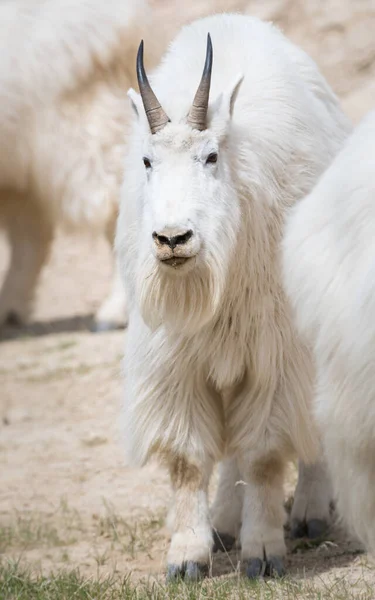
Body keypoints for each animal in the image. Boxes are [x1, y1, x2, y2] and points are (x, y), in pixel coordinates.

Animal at [117, 12, 352, 576]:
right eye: (147, 162)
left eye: (211, 156)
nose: (173, 239)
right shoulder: (178, 358)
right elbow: (188, 461)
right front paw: (187, 557)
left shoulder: (275, 354)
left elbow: (264, 455)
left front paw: (263, 552)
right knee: (227, 452)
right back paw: (224, 522)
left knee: (310, 425)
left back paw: (309, 513)